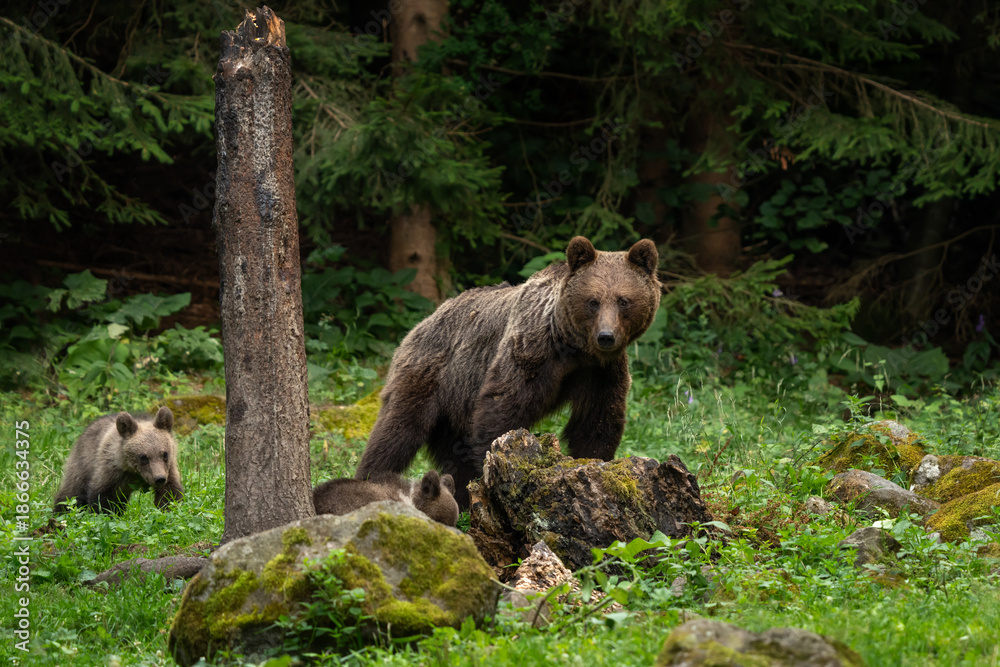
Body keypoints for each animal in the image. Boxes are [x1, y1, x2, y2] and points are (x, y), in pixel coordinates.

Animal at [54, 407, 184, 514]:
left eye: (165, 454)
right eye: (143, 457)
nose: (159, 479)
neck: (133, 471)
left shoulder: (169, 469)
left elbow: (170, 493)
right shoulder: (110, 470)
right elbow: (102, 497)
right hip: (83, 464)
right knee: (70, 494)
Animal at [355, 235, 660, 507]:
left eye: (623, 300)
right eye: (593, 301)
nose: (606, 336)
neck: (572, 347)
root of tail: (425, 319)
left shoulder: (600, 371)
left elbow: (596, 421)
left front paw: (597, 463)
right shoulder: (532, 351)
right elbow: (502, 409)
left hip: (455, 408)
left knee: (452, 453)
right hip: (430, 373)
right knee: (396, 432)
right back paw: (370, 481)